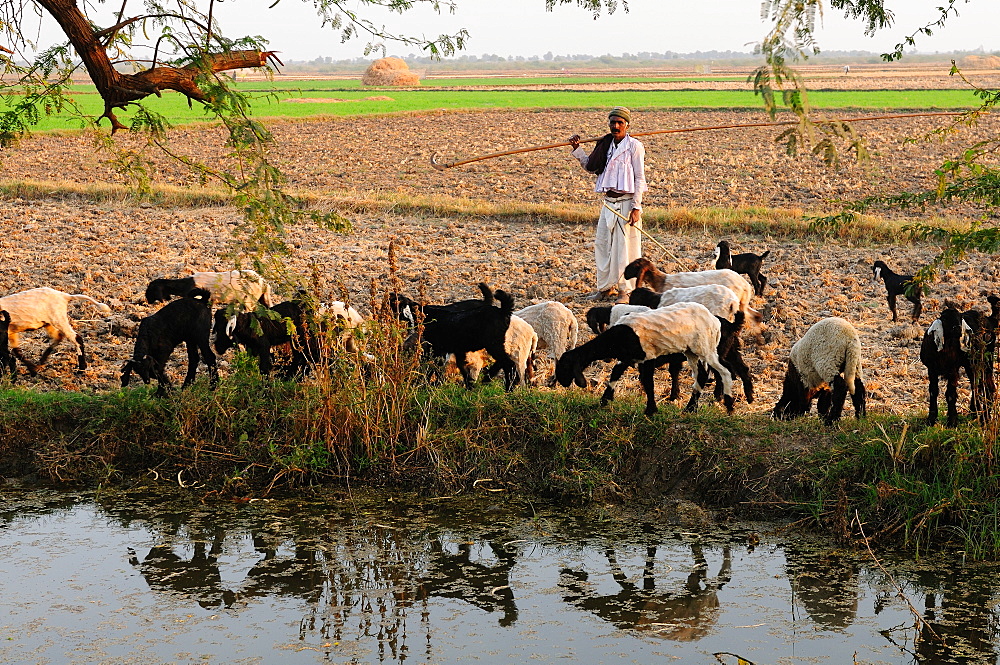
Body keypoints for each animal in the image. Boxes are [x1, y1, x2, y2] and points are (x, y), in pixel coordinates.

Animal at [143, 268, 272, 310]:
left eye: (150, 289)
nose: (148, 301)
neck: (187, 284)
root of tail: (263, 282)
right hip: (262, 298)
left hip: (249, 300)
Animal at [556, 302, 736, 416]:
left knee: (725, 371)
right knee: (702, 375)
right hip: (691, 351)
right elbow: (616, 373)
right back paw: (690, 408)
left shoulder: (647, 356)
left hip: (706, 348)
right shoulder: (629, 357)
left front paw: (650, 410)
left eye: (564, 366)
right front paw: (604, 400)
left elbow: (648, 383)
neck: (619, 336)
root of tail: (716, 321)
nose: (562, 382)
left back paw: (728, 405)